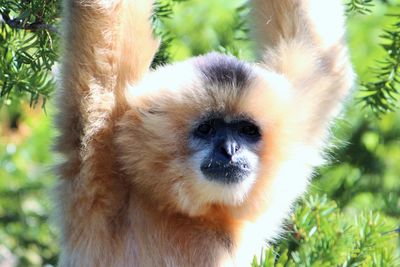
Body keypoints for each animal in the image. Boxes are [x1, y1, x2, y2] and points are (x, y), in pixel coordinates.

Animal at [54, 0, 354, 267]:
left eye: (246, 130)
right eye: (206, 129)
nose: (230, 149)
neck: (193, 213)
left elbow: (318, 57)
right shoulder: (104, 166)